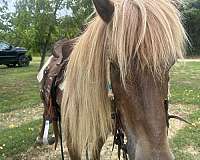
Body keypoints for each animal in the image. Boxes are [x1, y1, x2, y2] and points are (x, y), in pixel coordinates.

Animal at [37, 0, 188, 159]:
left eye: (170, 64)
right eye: (115, 65)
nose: (157, 155)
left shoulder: (100, 136)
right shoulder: (73, 142)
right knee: (45, 115)